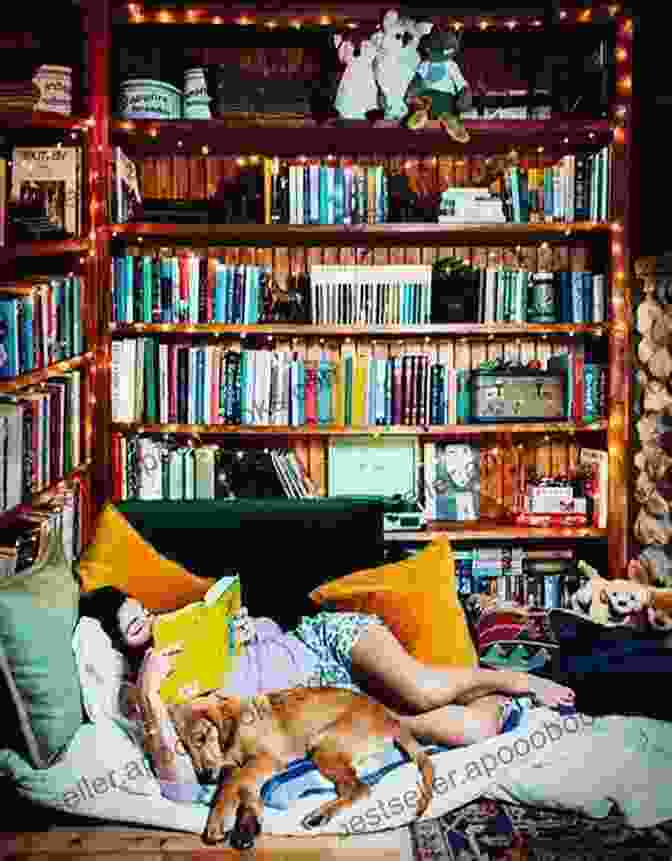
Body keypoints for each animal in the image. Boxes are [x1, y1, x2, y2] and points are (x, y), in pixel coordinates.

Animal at [169, 684, 436, 848]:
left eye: (202, 737)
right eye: (184, 748)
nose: (204, 777)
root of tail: (393, 720)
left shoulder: (265, 760)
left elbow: (230, 786)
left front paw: (216, 823)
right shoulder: (240, 767)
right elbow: (240, 789)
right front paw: (246, 825)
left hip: (323, 746)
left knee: (359, 788)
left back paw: (320, 815)